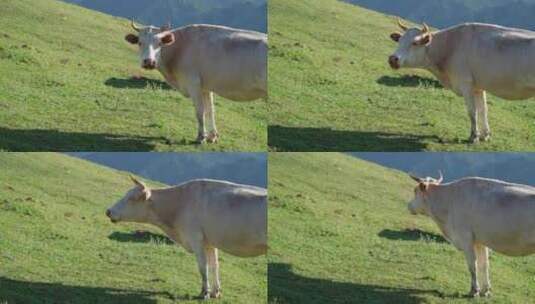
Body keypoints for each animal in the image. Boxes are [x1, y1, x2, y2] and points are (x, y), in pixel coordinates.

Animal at [107, 176, 268, 300]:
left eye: (131, 198)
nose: (108, 211)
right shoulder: (209, 241)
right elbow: (214, 265)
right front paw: (216, 292)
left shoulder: (196, 239)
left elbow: (203, 267)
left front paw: (204, 293)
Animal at [125, 20, 268, 144]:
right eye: (139, 43)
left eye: (160, 43)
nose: (149, 62)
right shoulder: (205, 87)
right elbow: (210, 110)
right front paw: (212, 136)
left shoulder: (193, 84)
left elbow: (200, 112)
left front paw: (201, 137)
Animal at [392, 20, 535, 144]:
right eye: (399, 40)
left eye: (415, 42)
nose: (392, 58)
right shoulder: (478, 87)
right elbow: (483, 110)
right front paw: (485, 135)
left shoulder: (466, 84)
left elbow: (472, 112)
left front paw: (474, 137)